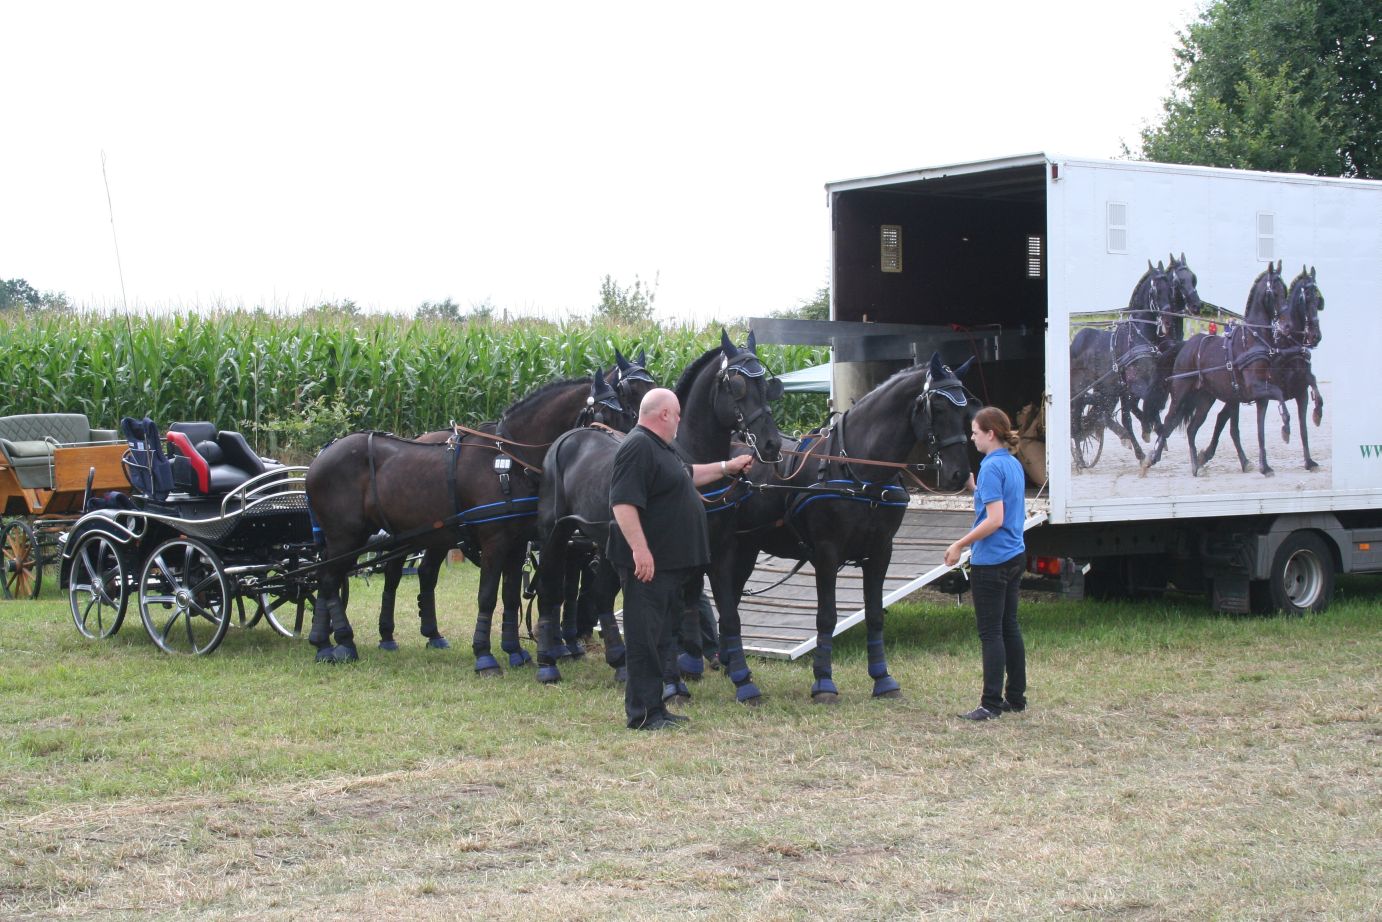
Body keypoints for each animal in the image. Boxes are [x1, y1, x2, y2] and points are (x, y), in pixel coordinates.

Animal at [302, 373, 627, 663]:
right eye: (606, 413)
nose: (620, 454)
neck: (508, 461)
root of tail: (321, 457)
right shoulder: (495, 541)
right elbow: (487, 596)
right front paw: (485, 655)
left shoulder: (517, 543)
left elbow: (510, 596)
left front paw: (514, 651)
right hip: (346, 535)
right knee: (329, 579)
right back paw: (342, 642)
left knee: (336, 576)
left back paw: (326, 641)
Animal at [530, 330, 790, 685]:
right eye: (736, 385)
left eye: (766, 383)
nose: (771, 444)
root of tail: (571, 436)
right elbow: (678, 611)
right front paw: (681, 667)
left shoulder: (718, 549)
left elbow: (720, 610)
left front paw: (717, 666)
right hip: (555, 535)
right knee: (549, 589)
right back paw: (547, 662)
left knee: (601, 595)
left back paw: (619, 661)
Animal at [696, 351, 978, 699]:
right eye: (937, 407)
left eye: (965, 409)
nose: (958, 474)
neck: (861, 470)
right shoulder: (827, 553)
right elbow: (826, 617)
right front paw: (824, 682)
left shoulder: (881, 551)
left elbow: (874, 615)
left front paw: (883, 679)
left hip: (747, 546)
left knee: (731, 597)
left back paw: (729, 663)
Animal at [1066, 261, 1177, 464]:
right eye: (1155, 290)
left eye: (1170, 289)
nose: (1167, 320)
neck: (1139, 337)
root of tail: (1075, 342)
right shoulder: (1134, 385)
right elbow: (1143, 405)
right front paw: (1147, 431)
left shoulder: (1128, 387)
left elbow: (1142, 408)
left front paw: (1152, 433)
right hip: (1080, 387)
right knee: (1078, 411)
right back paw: (1080, 456)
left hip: (1106, 388)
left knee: (1098, 408)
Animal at [1138, 259, 1288, 475]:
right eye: (1274, 293)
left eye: (1285, 290)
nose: (1285, 325)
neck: (1251, 340)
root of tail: (1185, 345)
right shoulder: (1254, 389)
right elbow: (1277, 395)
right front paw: (1286, 428)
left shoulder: (1257, 396)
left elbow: (1259, 430)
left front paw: (1263, 466)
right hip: (1181, 392)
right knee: (1168, 421)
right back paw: (1153, 459)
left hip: (1205, 399)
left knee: (1190, 427)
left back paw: (1194, 464)